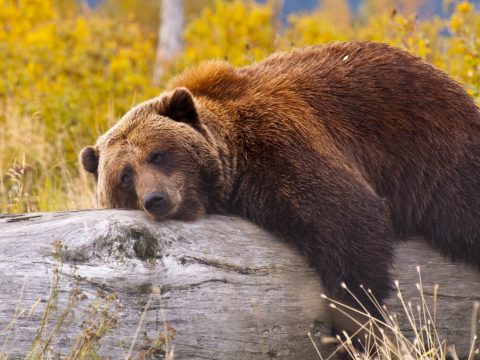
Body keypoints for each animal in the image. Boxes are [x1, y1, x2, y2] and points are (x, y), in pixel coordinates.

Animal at [79, 40, 480, 328]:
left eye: (158, 154)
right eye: (124, 175)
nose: (156, 199)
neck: (236, 159)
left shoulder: (281, 143)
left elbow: (349, 220)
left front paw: (356, 320)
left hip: (439, 154)